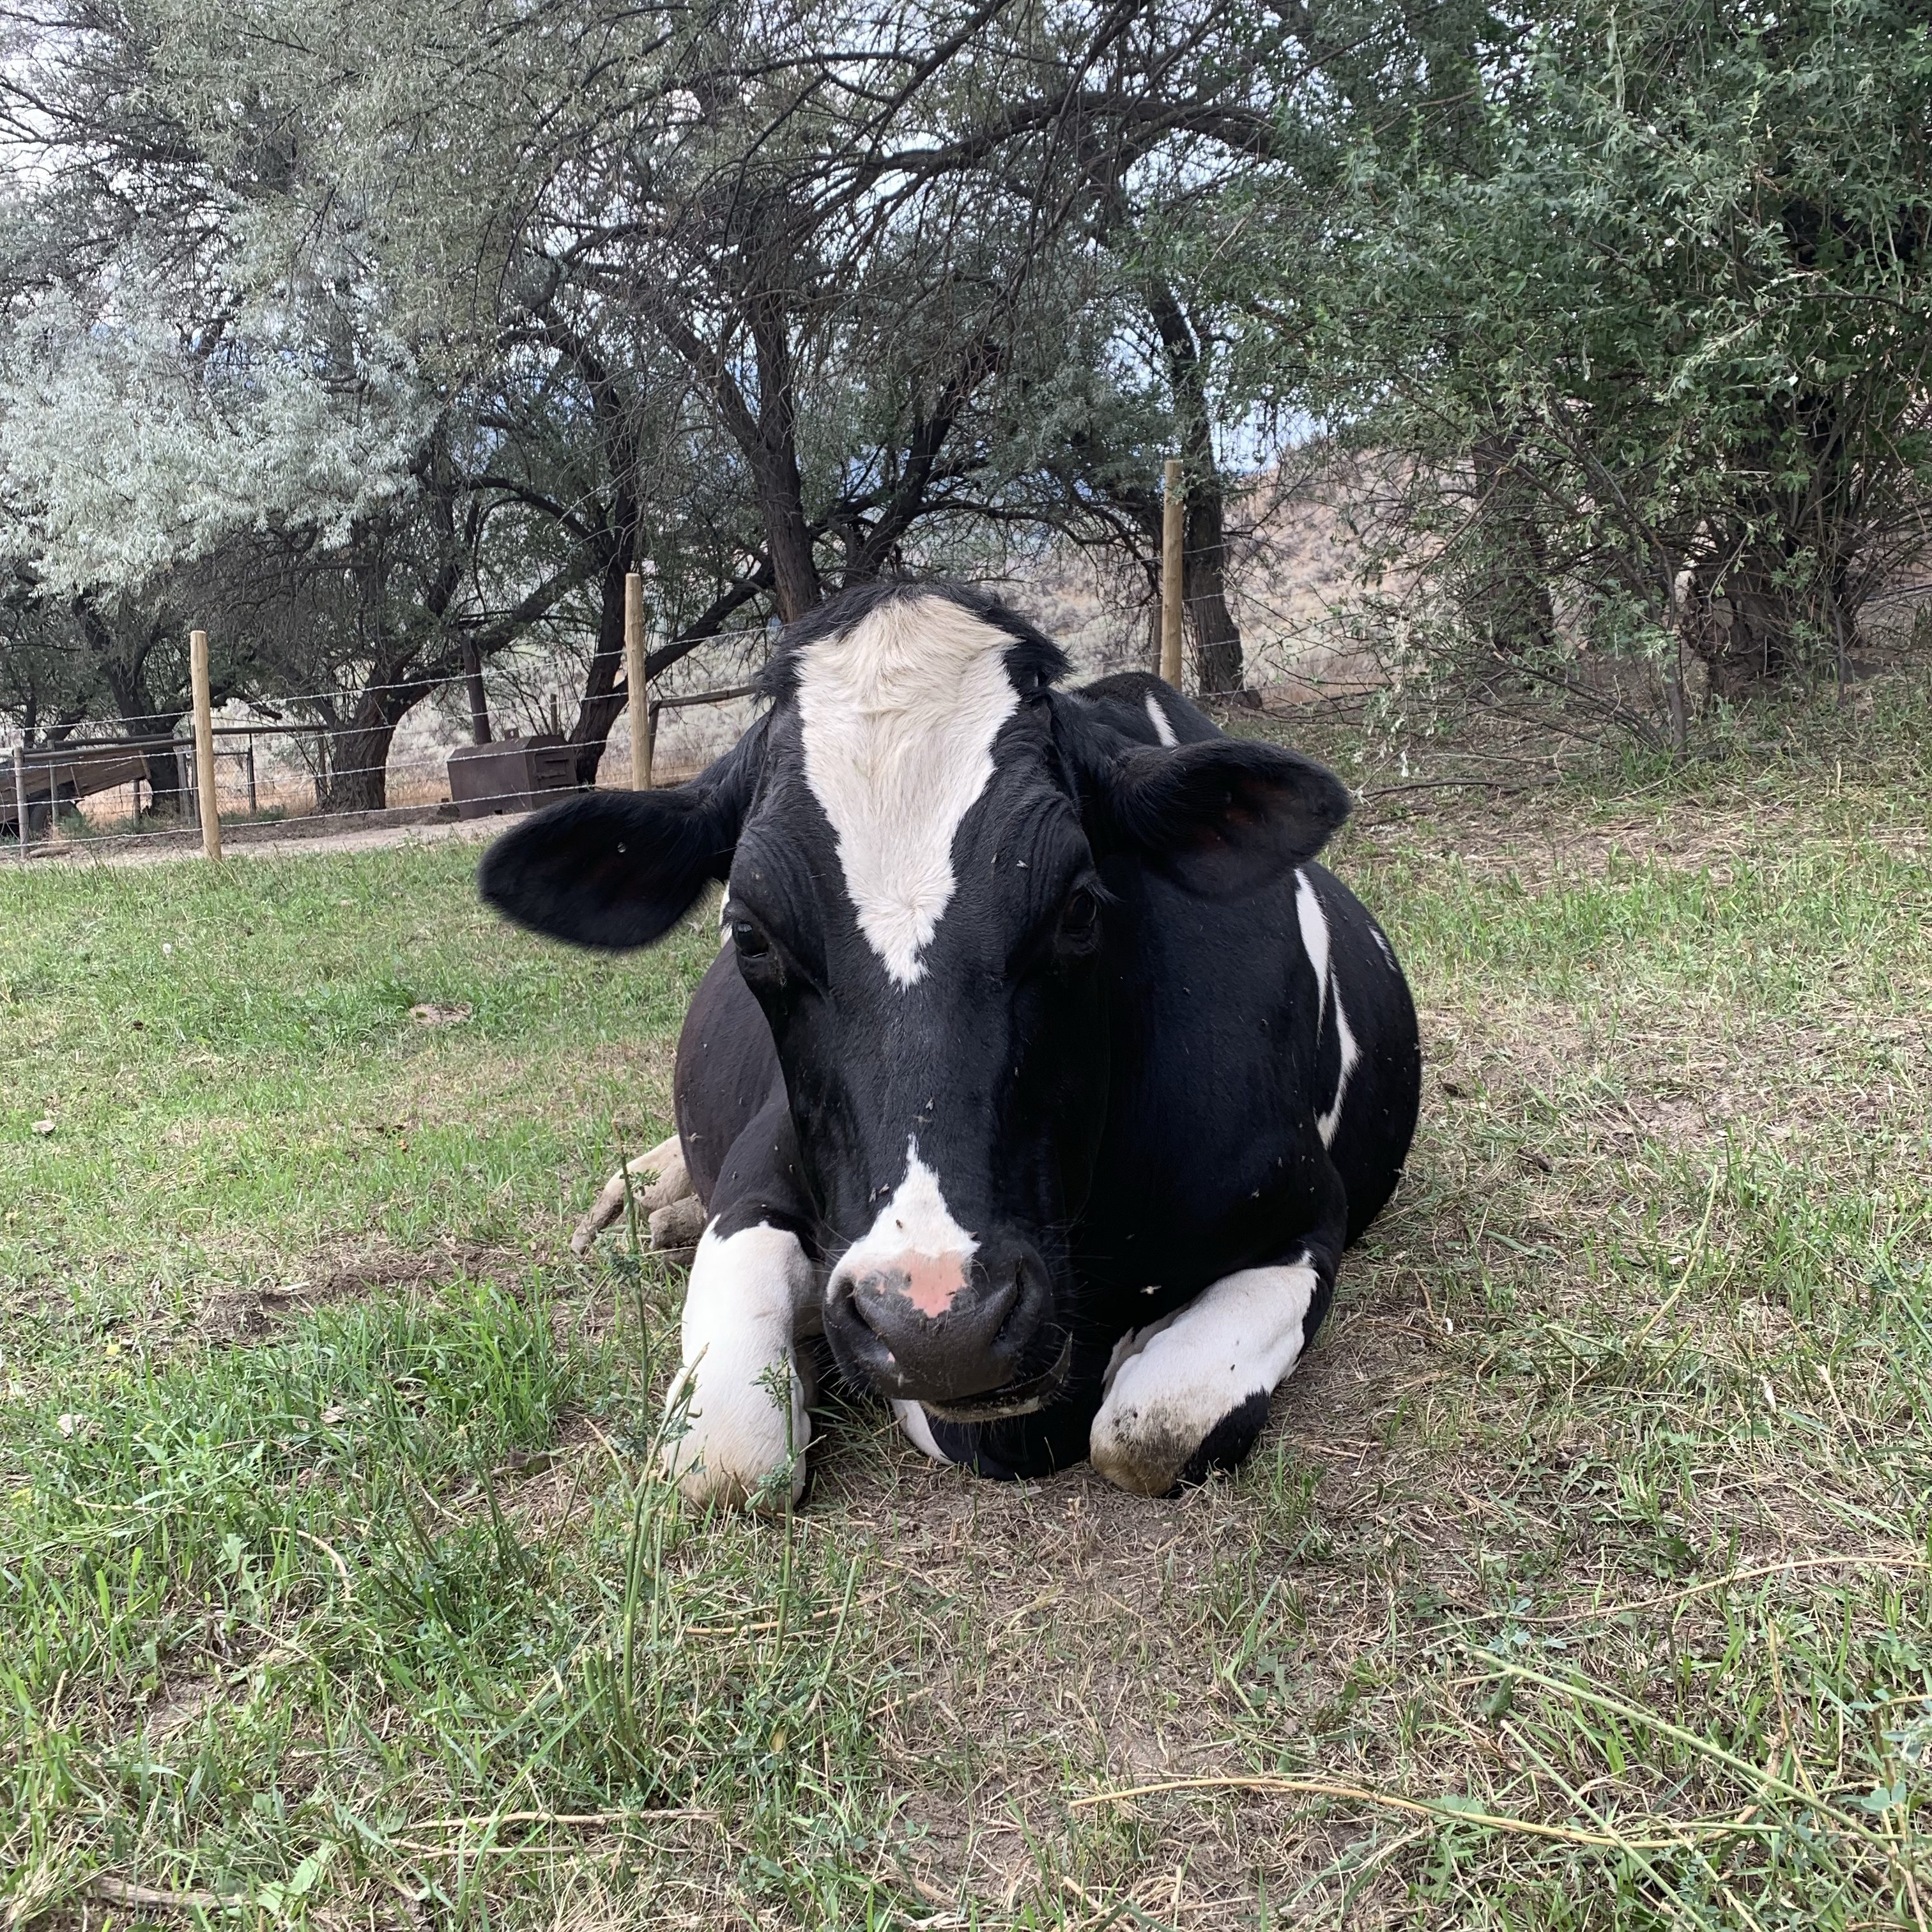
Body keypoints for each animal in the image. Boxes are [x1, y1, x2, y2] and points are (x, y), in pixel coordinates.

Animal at [481, 582, 1421, 1507]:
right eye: (748, 933)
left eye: (1080, 905)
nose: (940, 1325)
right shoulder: (759, 1172)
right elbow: (730, 1458)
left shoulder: (1303, 1212)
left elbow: (1149, 1432)